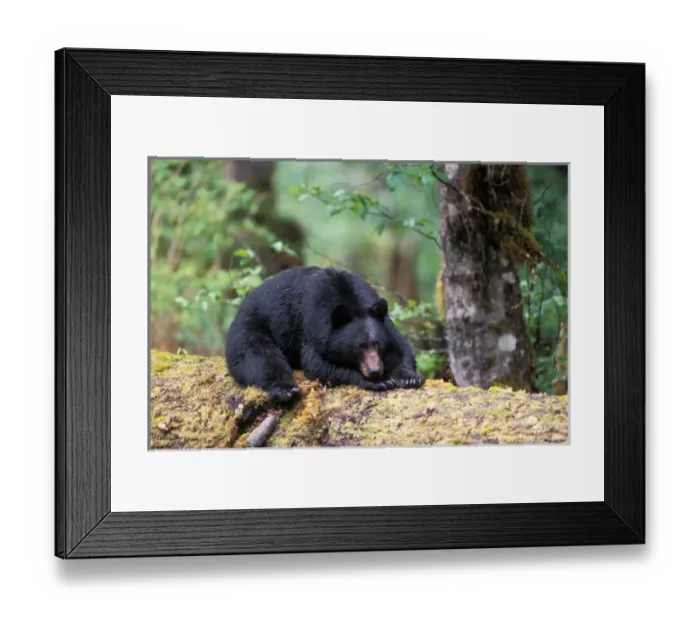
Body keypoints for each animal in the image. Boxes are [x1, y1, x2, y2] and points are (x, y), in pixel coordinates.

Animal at [225, 265, 425, 403]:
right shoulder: (313, 327)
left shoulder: (382, 319)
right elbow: (317, 365)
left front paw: (409, 377)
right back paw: (286, 389)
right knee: (258, 356)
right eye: (358, 347)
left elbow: (401, 346)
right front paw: (378, 382)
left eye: (378, 344)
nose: (375, 371)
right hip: (251, 326)